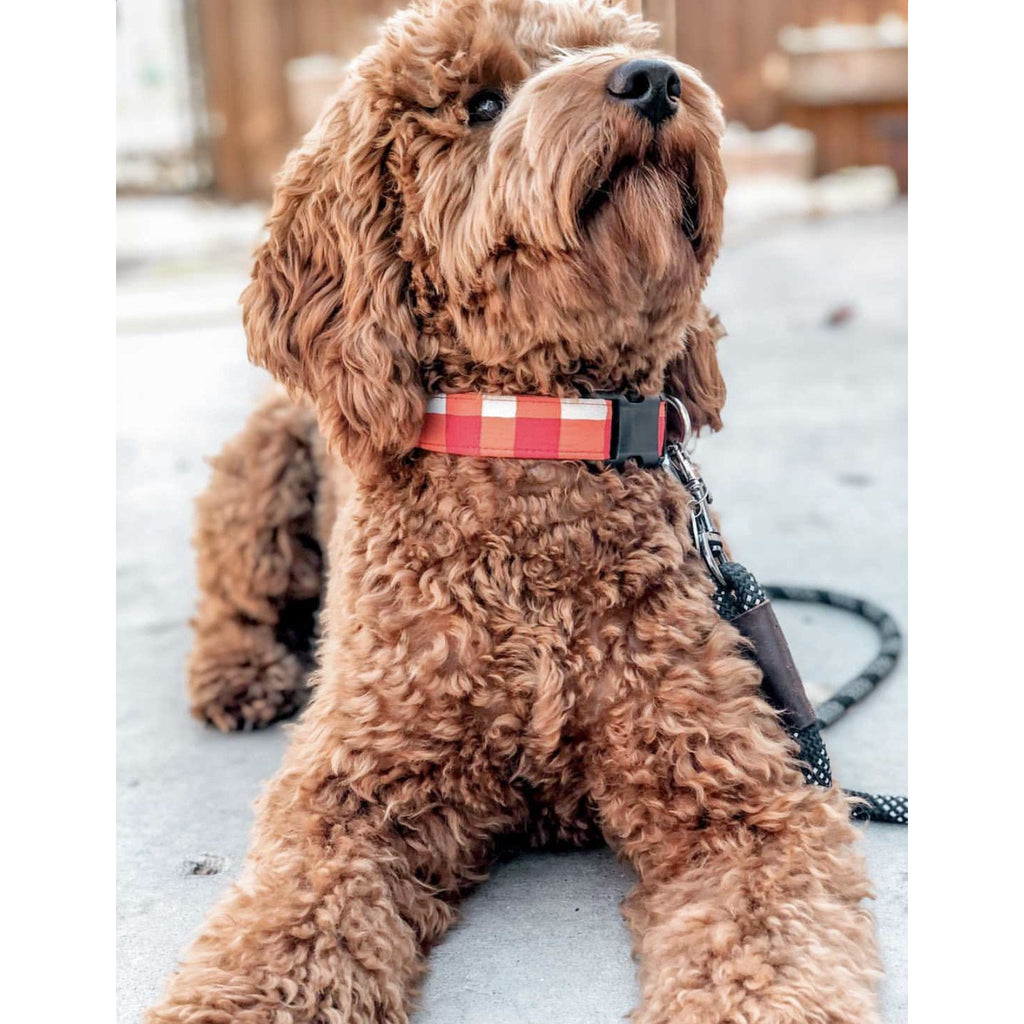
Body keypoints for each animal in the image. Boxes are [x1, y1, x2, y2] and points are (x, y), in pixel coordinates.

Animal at [151, 2, 880, 1024]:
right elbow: (286, 930)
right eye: (482, 103)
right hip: (258, 470)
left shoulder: (740, 796)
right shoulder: (350, 790)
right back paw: (239, 672)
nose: (654, 81)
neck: (541, 436)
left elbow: (764, 948)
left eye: (610, 44)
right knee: (234, 598)